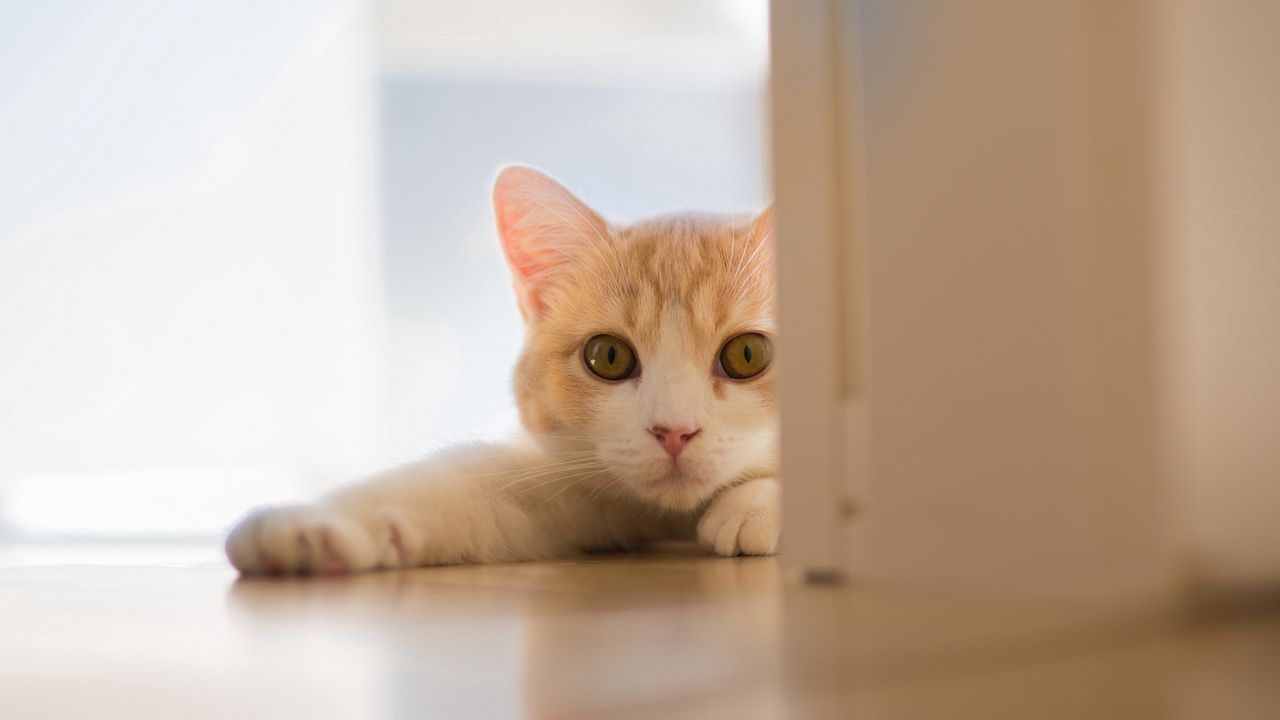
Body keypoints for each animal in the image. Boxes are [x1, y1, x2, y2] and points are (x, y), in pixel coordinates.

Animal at [225, 163, 773, 571]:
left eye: (748, 354)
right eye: (608, 357)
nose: (673, 432)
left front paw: (756, 504)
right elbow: (457, 483)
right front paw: (313, 525)